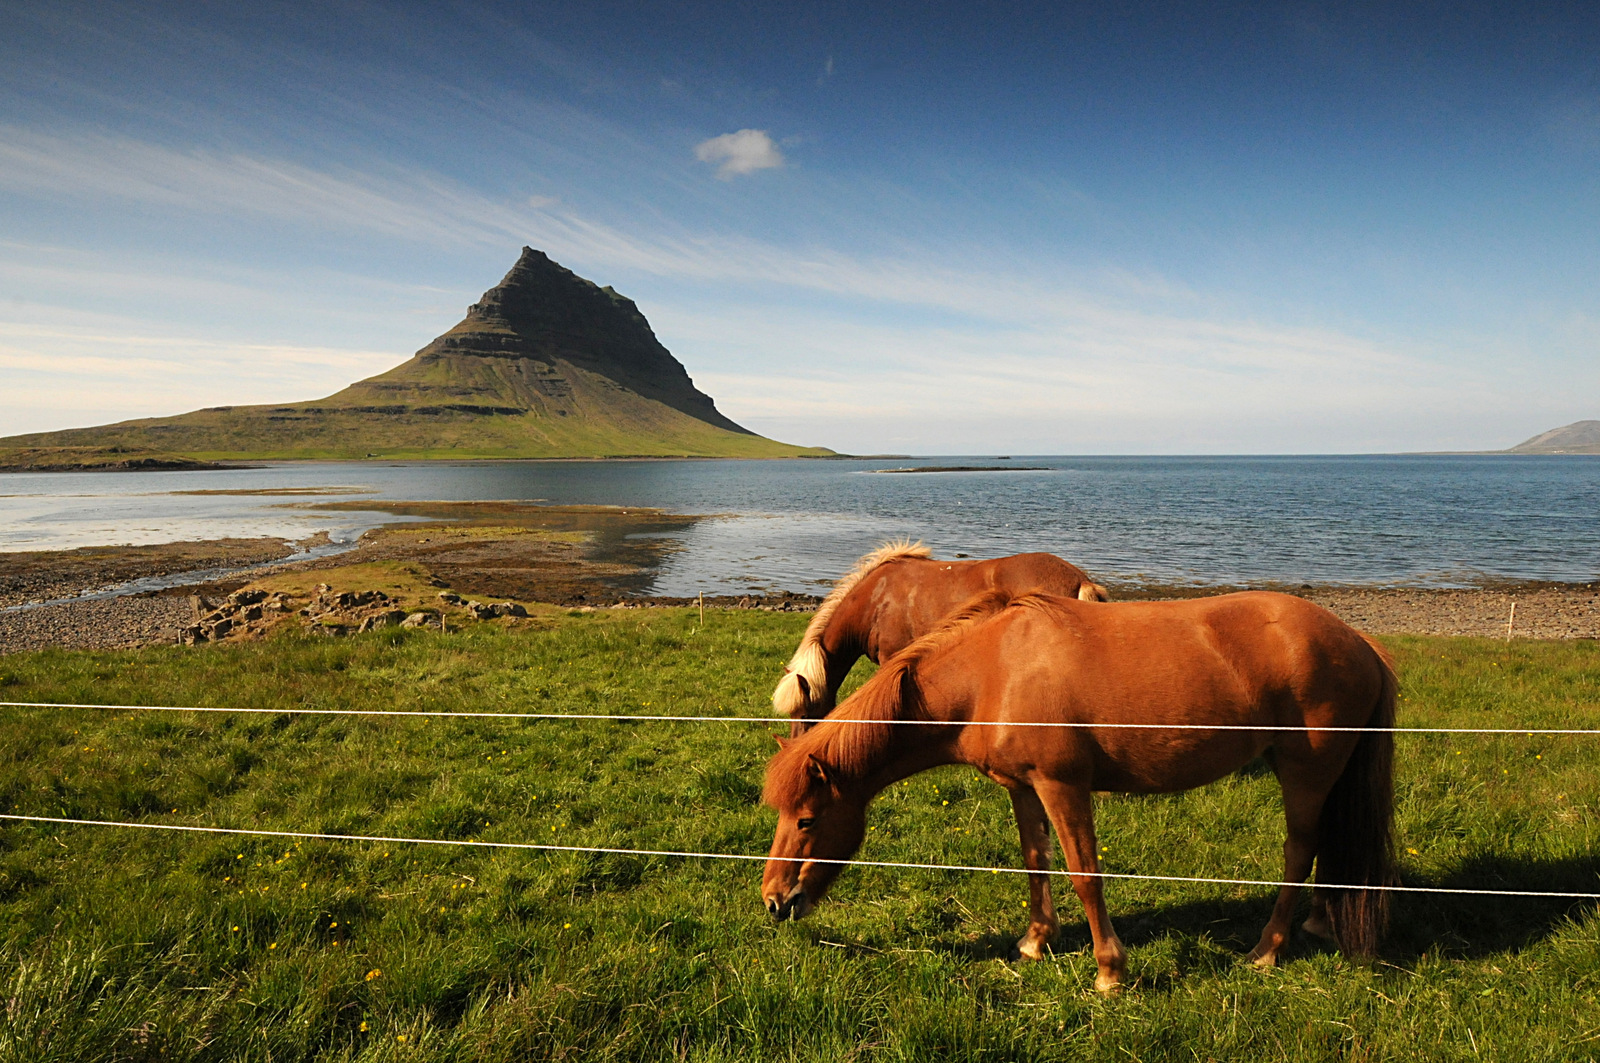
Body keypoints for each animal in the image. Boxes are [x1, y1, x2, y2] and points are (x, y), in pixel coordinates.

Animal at [755, 589, 1395, 998]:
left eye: (807, 819)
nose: (774, 901)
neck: (992, 672)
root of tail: (1359, 642)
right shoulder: (1023, 787)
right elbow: (1035, 861)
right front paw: (1036, 941)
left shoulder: (1063, 786)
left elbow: (1084, 874)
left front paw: (1109, 972)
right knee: (1322, 846)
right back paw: (1317, 925)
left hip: (1305, 771)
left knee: (1299, 851)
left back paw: (1267, 950)